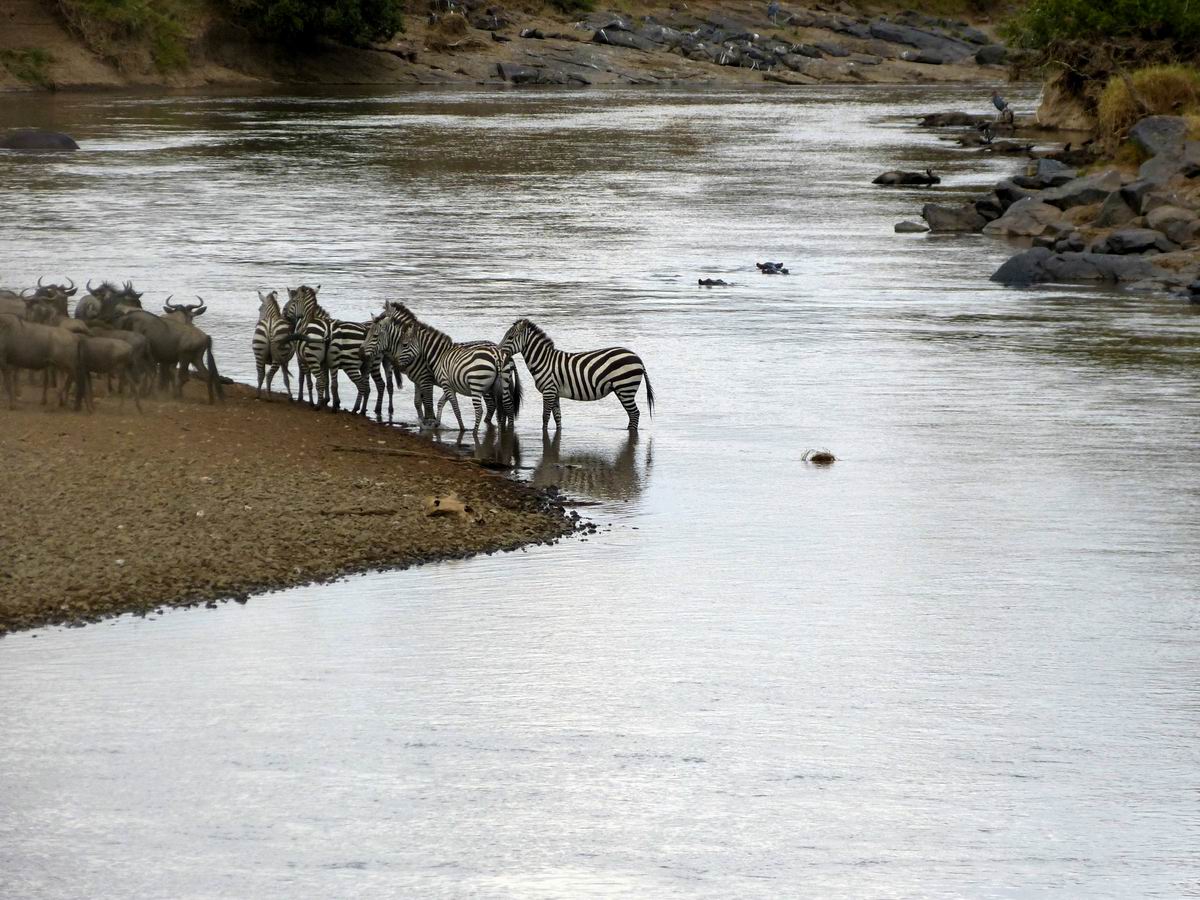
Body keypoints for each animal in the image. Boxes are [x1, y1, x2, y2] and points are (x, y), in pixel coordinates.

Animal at [494, 319, 652, 432]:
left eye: (510, 337)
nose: (498, 350)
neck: (543, 360)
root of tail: (638, 358)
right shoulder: (555, 392)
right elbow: (557, 417)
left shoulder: (548, 391)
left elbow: (545, 417)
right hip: (624, 389)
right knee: (633, 415)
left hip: (625, 388)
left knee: (635, 414)